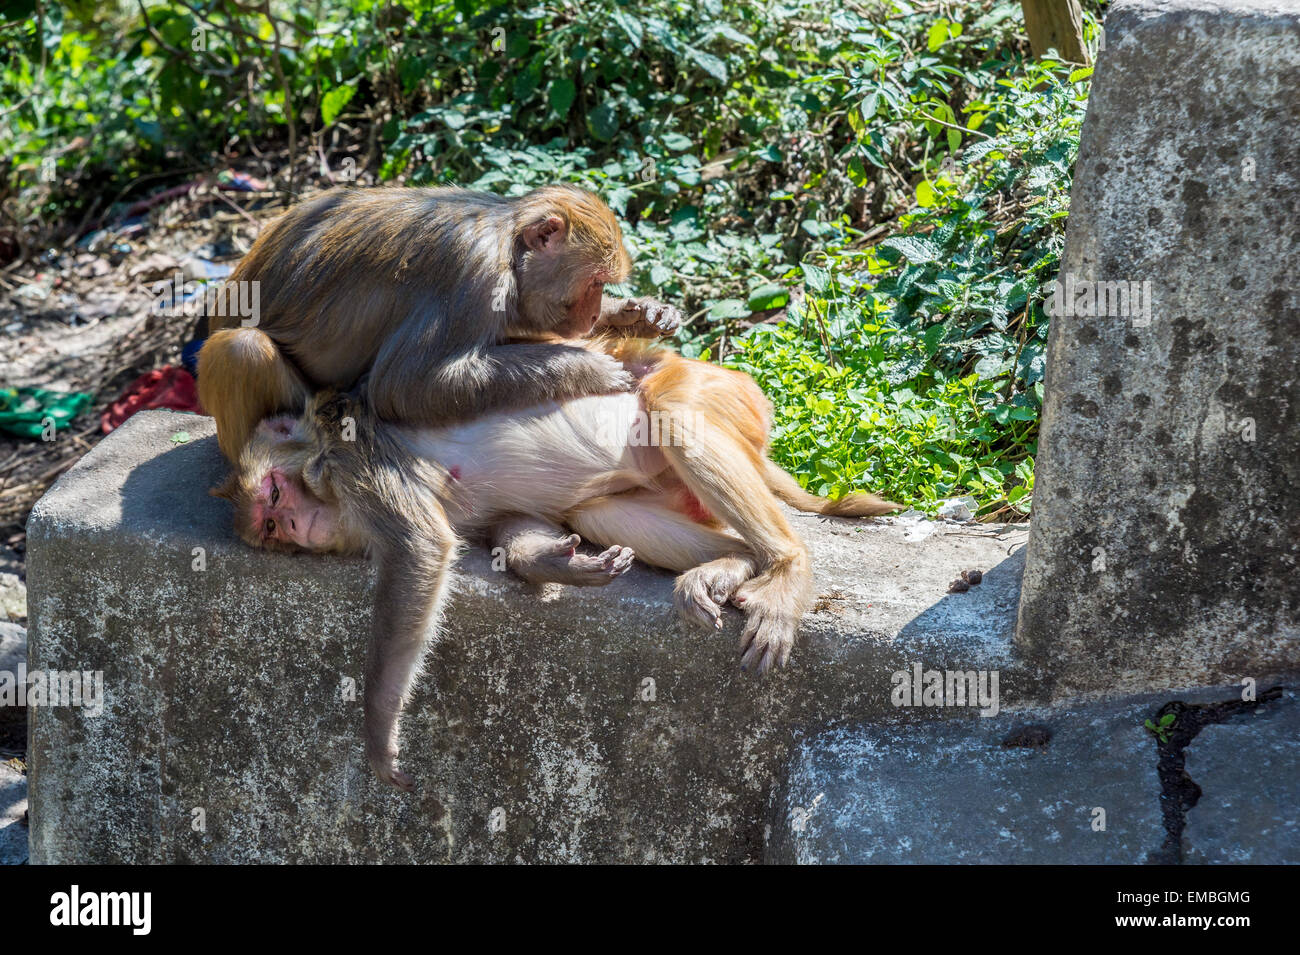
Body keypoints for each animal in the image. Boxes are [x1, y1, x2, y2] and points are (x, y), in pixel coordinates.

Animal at [198, 184, 683, 462]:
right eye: (595, 281)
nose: (592, 314)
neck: (507, 242)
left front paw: (639, 314)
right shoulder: (472, 272)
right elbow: (403, 386)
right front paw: (588, 368)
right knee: (242, 350)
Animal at [214, 336, 899, 790]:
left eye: (273, 497)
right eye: (271, 529)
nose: (293, 525)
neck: (323, 462)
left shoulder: (357, 465)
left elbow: (421, 550)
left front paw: (380, 731)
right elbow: (511, 525)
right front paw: (551, 563)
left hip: (718, 391)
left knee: (676, 418)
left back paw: (786, 567)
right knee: (596, 508)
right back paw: (730, 563)